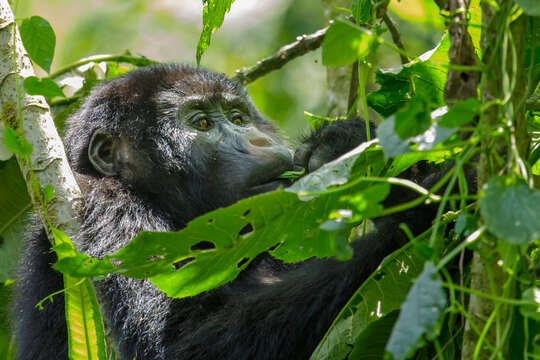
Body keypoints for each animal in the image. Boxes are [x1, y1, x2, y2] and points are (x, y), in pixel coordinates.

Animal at [13, 63, 438, 358]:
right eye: (201, 123)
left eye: (238, 118)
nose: (259, 140)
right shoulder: (108, 210)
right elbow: (180, 344)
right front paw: (419, 216)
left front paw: (346, 144)